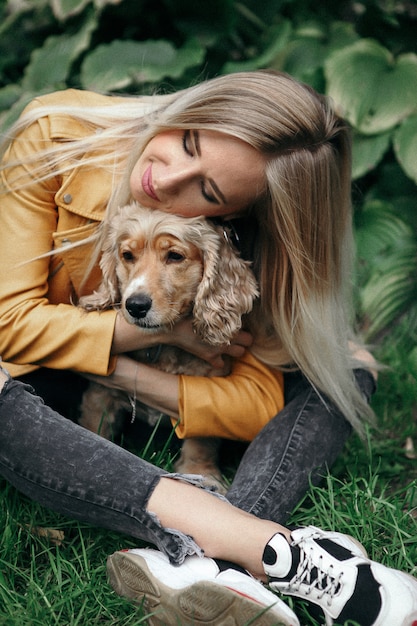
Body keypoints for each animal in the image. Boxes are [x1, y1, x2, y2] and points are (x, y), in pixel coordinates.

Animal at [77, 202, 256, 490]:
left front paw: (202, 474)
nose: (135, 306)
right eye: (127, 255)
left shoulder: (204, 388)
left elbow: (201, 440)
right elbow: (95, 428)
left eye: (174, 256)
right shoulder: (100, 394)